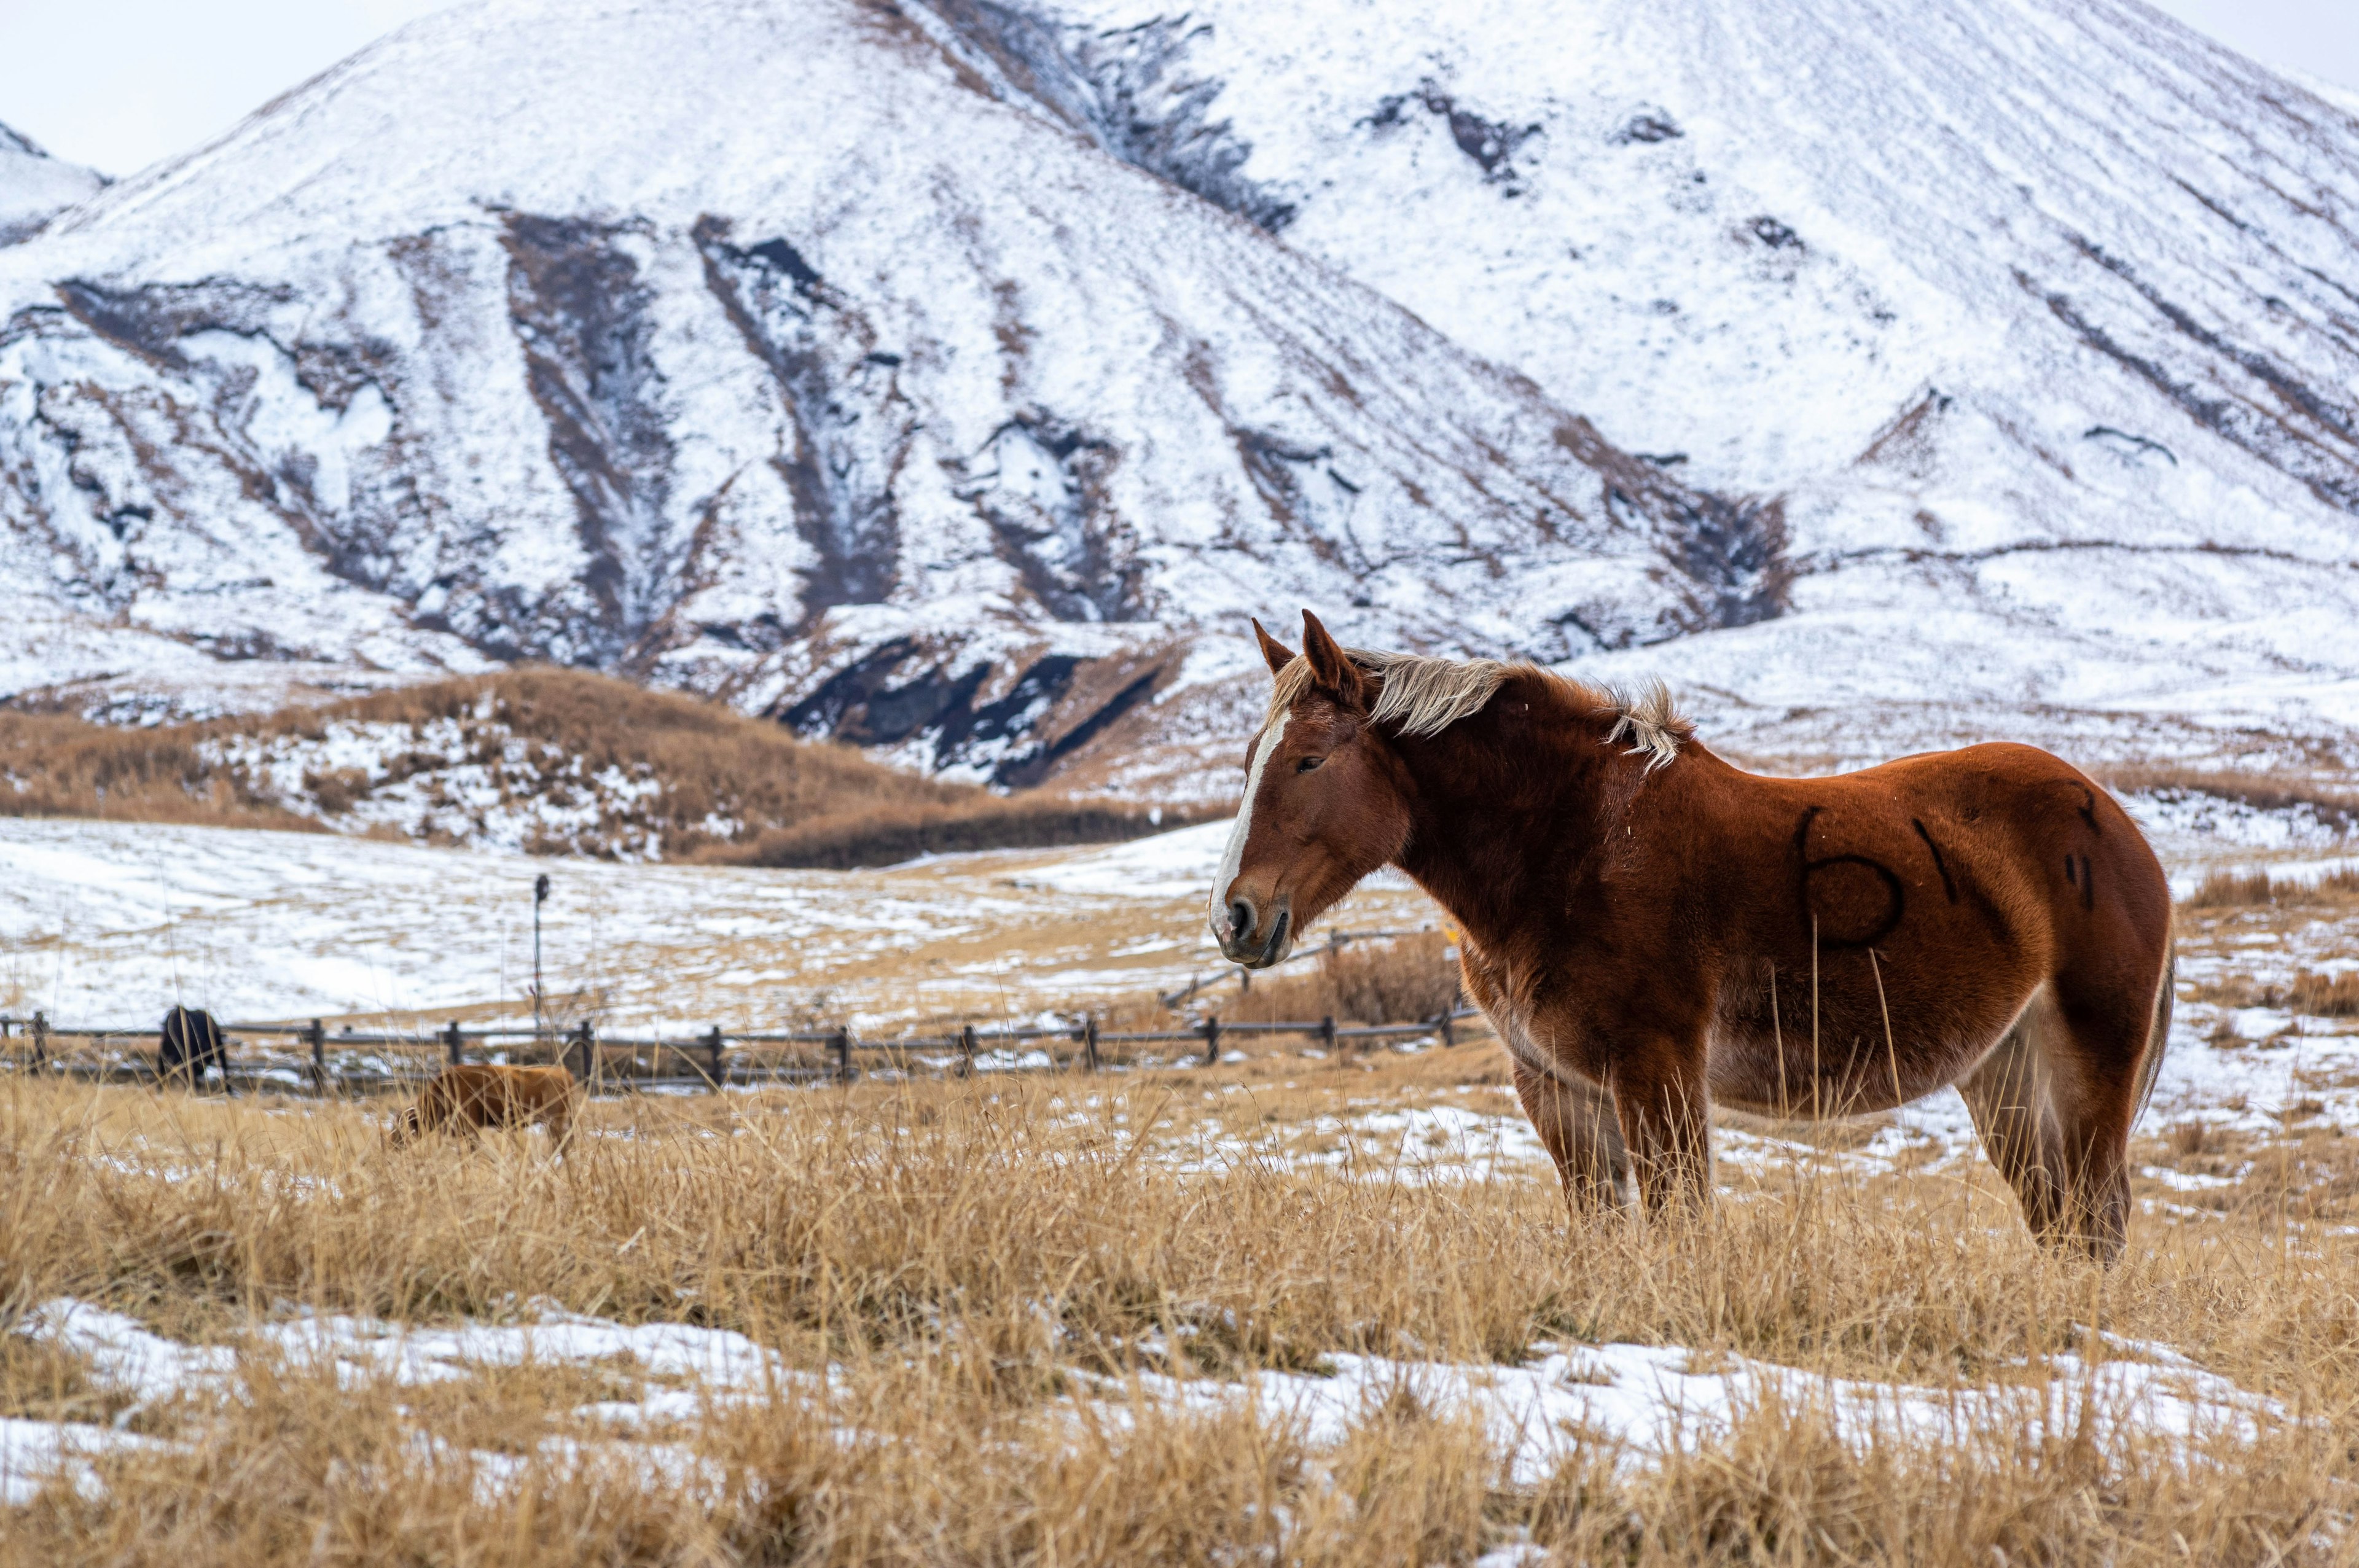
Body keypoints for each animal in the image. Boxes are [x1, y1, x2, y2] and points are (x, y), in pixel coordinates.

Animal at [1217, 613, 2170, 1263]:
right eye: (1249, 757)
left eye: (1308, 760)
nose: (1235, 917)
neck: (1574, 843)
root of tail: (2115, 825)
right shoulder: (1557, 1089)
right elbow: (1604, 1233)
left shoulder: (1658, 1070)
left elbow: (1681, 1224)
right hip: (2002, 1070)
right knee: (2057, 1218)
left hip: (2087, 1058)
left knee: (2097, 1213)